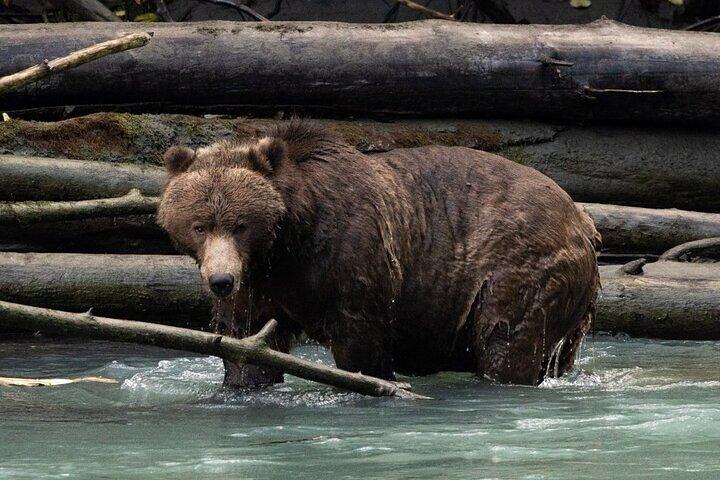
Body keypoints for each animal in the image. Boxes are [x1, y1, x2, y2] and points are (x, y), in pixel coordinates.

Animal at [157, 120, 600, 387]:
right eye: (200, 225)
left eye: (240, 224)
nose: (220, 280)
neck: (287, 243)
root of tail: (582, 219)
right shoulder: (260, 282)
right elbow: (246, 340)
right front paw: (244, 381)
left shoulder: (351, 257)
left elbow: (360, 340)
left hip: (518, 264)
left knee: (506, 338)